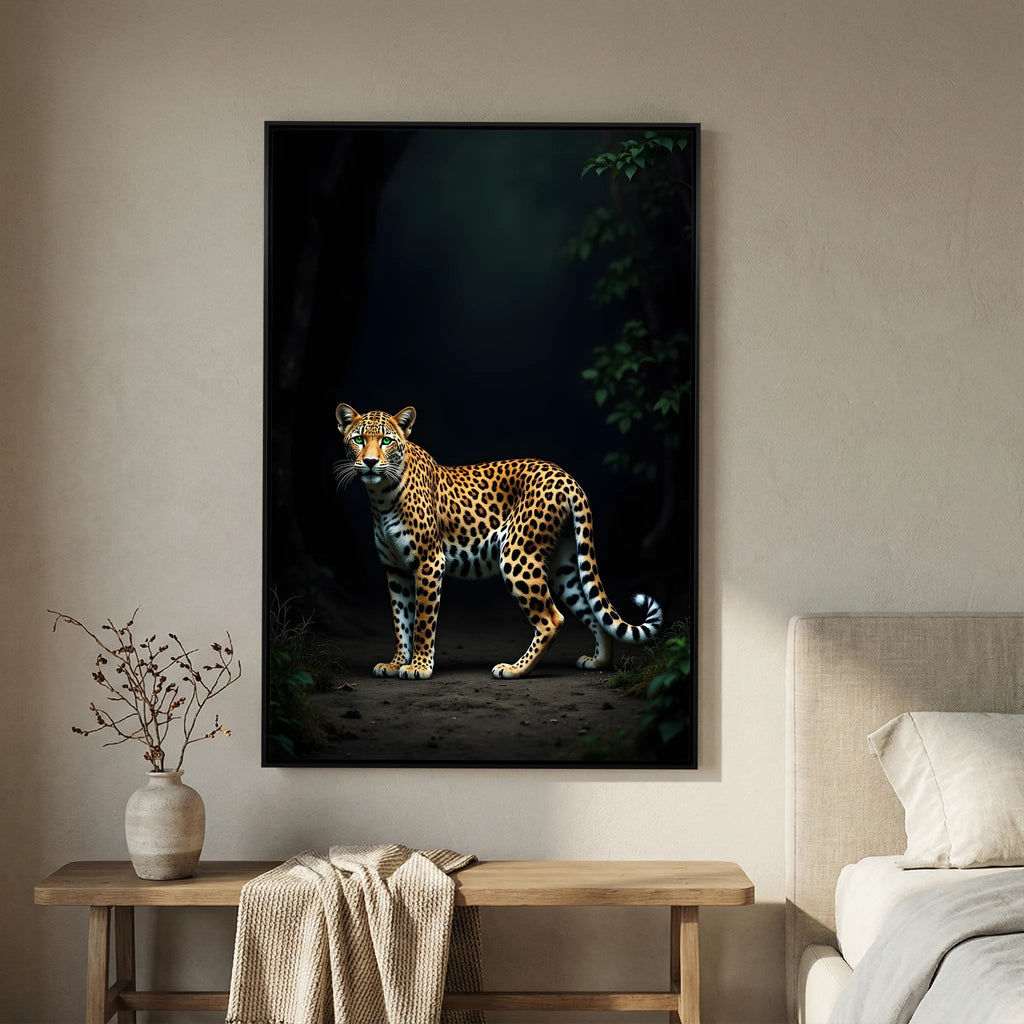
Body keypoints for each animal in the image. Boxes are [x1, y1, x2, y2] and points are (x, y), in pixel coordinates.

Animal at [334, 403, 663, 680]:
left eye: (386, 441)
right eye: (359, 439)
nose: (370, 462)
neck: (380, 496)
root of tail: (567, 477)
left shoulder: (429, 563)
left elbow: (422, 622)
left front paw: (419, 667)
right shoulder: (396, 570)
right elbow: (400, 620)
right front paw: (396, 663)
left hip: (518, 556)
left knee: (552, 619)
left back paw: (514, 669)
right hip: (563, 566)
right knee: (591, 609)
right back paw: (598, 662)